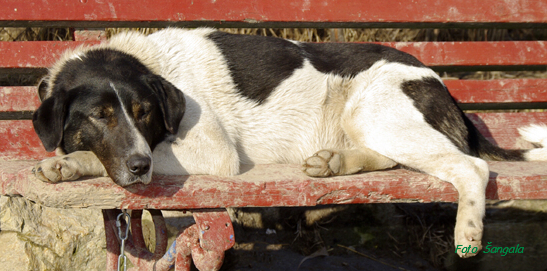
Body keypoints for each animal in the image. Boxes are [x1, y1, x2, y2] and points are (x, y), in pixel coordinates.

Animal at [32, 28, 547, 258]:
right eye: (99, 116)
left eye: (144, 113)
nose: (138, 168)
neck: (149, 61)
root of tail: (442, 85)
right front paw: (67, 161)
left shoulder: (213, 151)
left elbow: (116, 156)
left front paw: (74, 163)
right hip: (371, 125)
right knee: (395, 159)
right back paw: (335, 162)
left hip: (375, 112)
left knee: (471, 167)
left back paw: (468, 232)